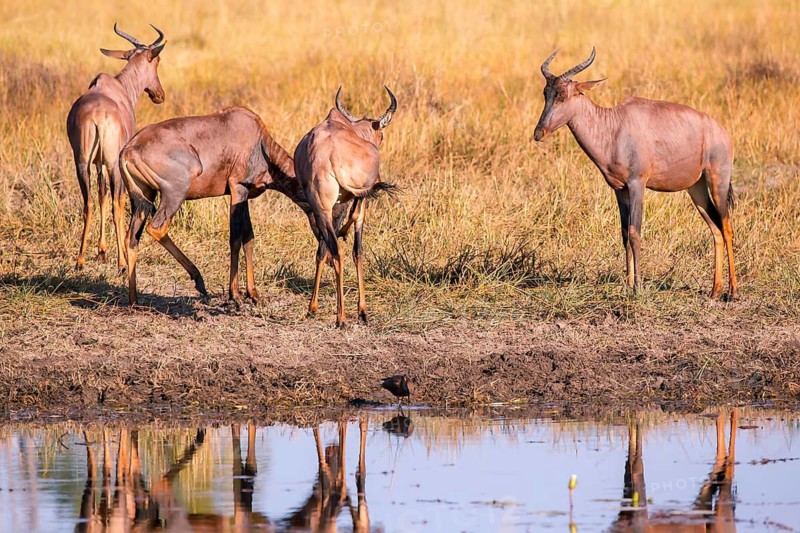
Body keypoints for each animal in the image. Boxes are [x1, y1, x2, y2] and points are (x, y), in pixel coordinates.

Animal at [66, 24, 166, 271]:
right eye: (157, 61)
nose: (159, 95)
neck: (118, 87)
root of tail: (98, 117)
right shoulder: (116, 162)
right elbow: (117, 202)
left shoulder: (97, 163)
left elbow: (101, 196)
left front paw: (101, 251)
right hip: (114, 164)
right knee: (116, 204)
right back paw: (122, 263)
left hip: (82, 163)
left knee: (89, 203)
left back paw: (80, 260)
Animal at [119, 107, 309, 306]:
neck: (258, 140)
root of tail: (128, 150)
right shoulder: (237, 188)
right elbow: (235, 239)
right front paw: (236, 296)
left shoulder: (244, 196)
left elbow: (249, 238)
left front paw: (254, 294)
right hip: (175, 192)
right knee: (156, 228)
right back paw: (199, 280)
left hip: (143, 197)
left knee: (131, 239)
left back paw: (134, 301)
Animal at [295, 86, 397, 327]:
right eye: (382, 135)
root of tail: (331, 157)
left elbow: (325, 250)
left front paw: (313, 307)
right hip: (346, 199)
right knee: (344, 246)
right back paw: (342, 316)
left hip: (324, 207)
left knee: (333, 249)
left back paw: (332, 312)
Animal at [533, 48, 738, 300]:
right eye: (546, 92)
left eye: (563, 94)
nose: (538, 133)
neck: (614, 127)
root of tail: (723, 132)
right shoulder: (619, 189)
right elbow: (624, 233)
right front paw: (628, 284)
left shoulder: (637, 185)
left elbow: (635, 233)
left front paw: (638, 287)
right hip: (696, 189)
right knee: (715, 230)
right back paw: (714, 290)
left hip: (718, 181)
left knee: (727, 228)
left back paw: (733, 291)